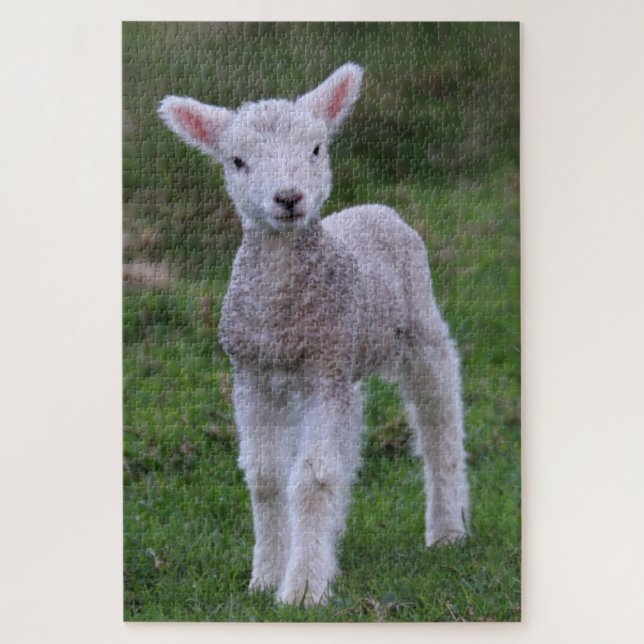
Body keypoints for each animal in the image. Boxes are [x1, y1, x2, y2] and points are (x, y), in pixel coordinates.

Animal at [158, 62, 469, 607]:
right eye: (237, 161)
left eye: (317, 148)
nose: (288, 198)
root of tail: (375, 208)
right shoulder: (253, 375)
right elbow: (266, 478)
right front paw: (265, 577)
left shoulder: (323, 371)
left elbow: (312, 479)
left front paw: (302, 588)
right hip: (347, 360)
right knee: (351, 440)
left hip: (418, 327)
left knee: (440, 422)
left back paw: (447, 529)